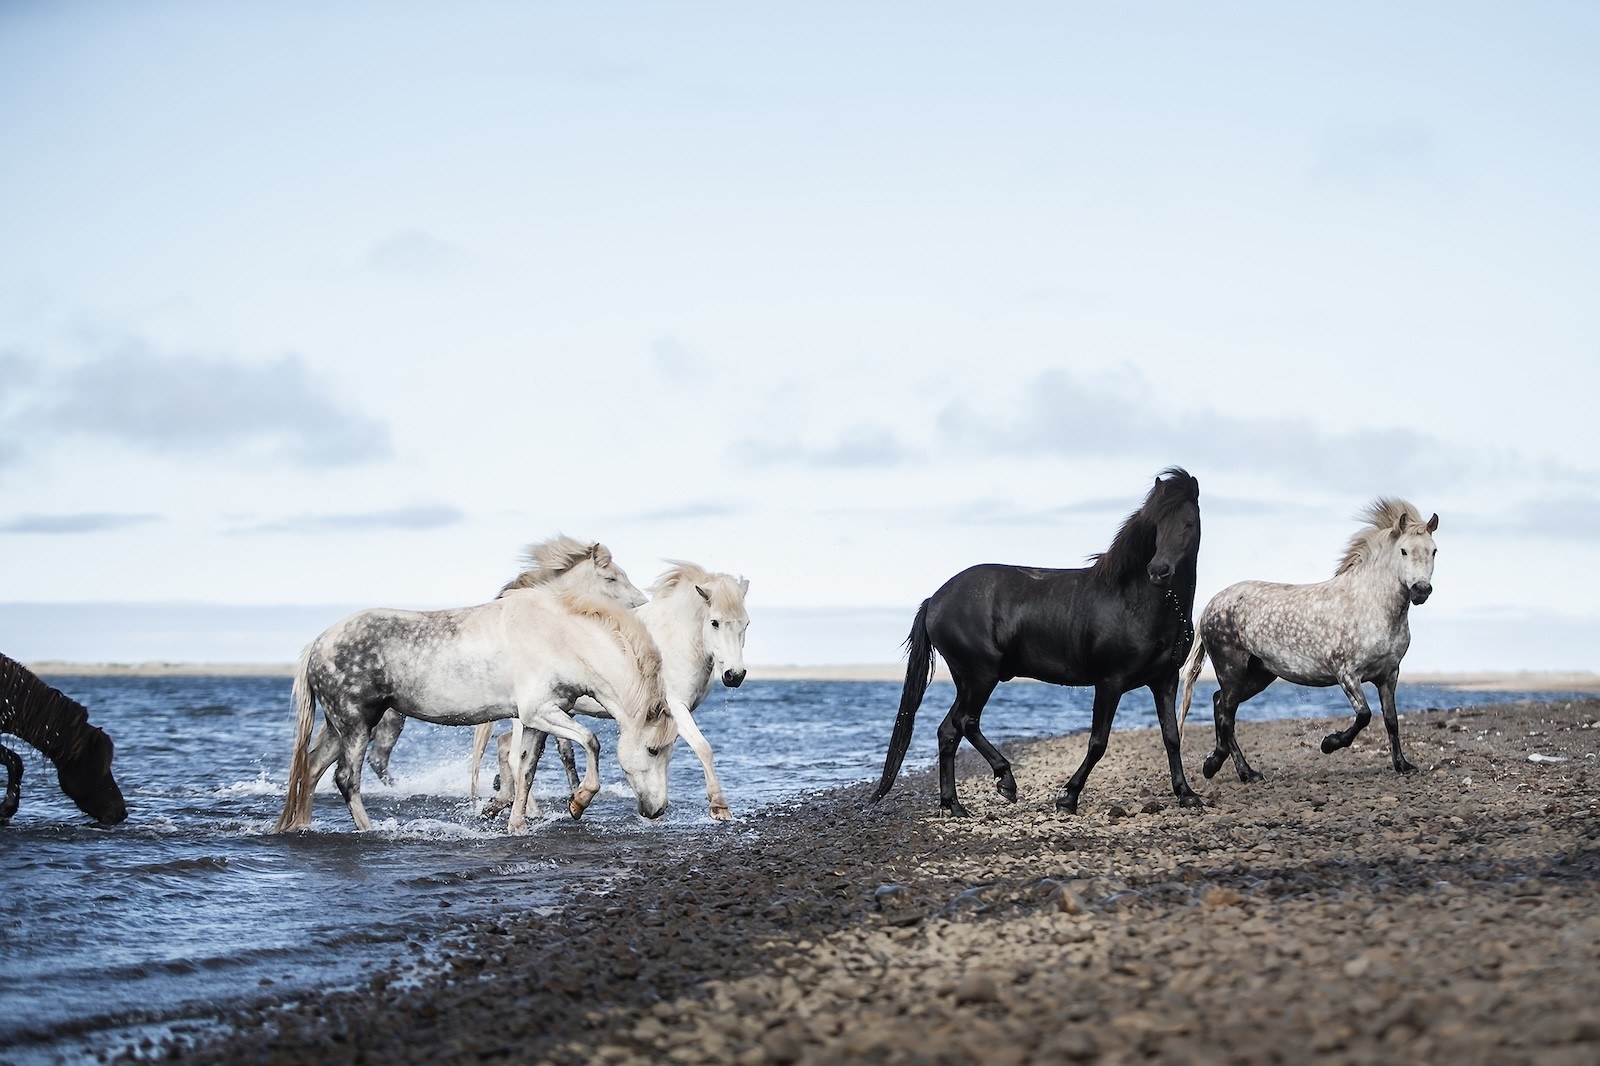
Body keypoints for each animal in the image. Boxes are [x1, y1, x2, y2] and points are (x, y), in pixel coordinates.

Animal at [272, 587, 677, 834]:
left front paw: (517, 825)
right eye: (653, 749)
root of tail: (318, 644)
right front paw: (579, 802)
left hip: (338, 726)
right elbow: (591, 741)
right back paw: (370, 831)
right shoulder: (541, 712)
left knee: (311, 769)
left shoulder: (537, 720)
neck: (562, 638)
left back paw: (301, 826)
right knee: (345, 779)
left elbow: (525, 770)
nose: (657, 810)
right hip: (357, 724)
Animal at [474, 562, 750, 821]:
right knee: (514, 756)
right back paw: (530, 811)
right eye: (714, 622)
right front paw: (719, 807)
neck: (675, 640)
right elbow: (703, 748)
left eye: (746, 624)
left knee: (505, 746)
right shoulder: (676, 709)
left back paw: (500, 803)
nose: (734, 675)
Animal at [874, 467, 1204, 817]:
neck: (1137, 601)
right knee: (966, 722)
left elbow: (1172, 736)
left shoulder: (1165, 680)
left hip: (966, 679)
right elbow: (1098, 742)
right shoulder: (1110, 682)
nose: (1158, 570)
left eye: (1188, 523)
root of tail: (935, 600)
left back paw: (954, 805)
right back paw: (1005, 781)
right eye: (1156, 525)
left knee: (949, 731)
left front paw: (1187, 794)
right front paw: (1068, 797)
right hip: (981, 675)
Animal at [1180, 499, 1438, 783]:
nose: (1421, 590)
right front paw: (1329, 743)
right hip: (1232, 671)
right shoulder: (1347, 673)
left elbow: (1391, 721)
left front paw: (1403, 765)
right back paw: (1235, 769)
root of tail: (1211, 606)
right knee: (1226, 717)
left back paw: (1227, 766)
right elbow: (1364, 715)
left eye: (1434, 551)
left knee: (1219, 704)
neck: (1370, 604)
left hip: (1259, 675)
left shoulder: (1389, 675)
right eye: (1403, 551)